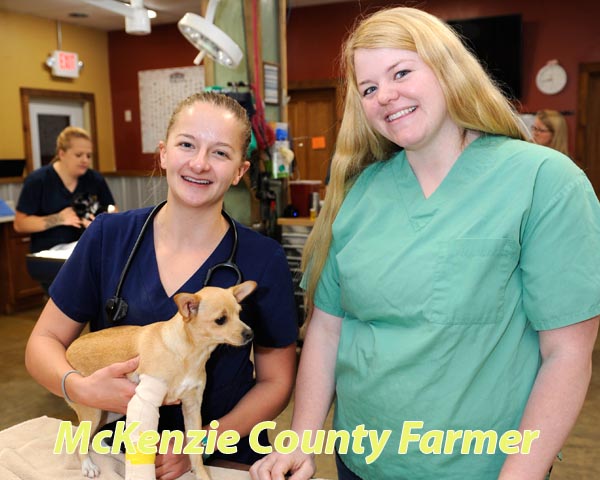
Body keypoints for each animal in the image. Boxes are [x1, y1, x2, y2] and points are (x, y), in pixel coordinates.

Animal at [65, 282, 255, 480]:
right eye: (221, 320)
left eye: (239, 313)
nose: (250, 333)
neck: (190, 354)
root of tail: (69, 350)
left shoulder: (192, 407)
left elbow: (195, 451)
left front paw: (202, 475)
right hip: (94, 411)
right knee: (79, 439)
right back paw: (87, 465)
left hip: (109, 411)